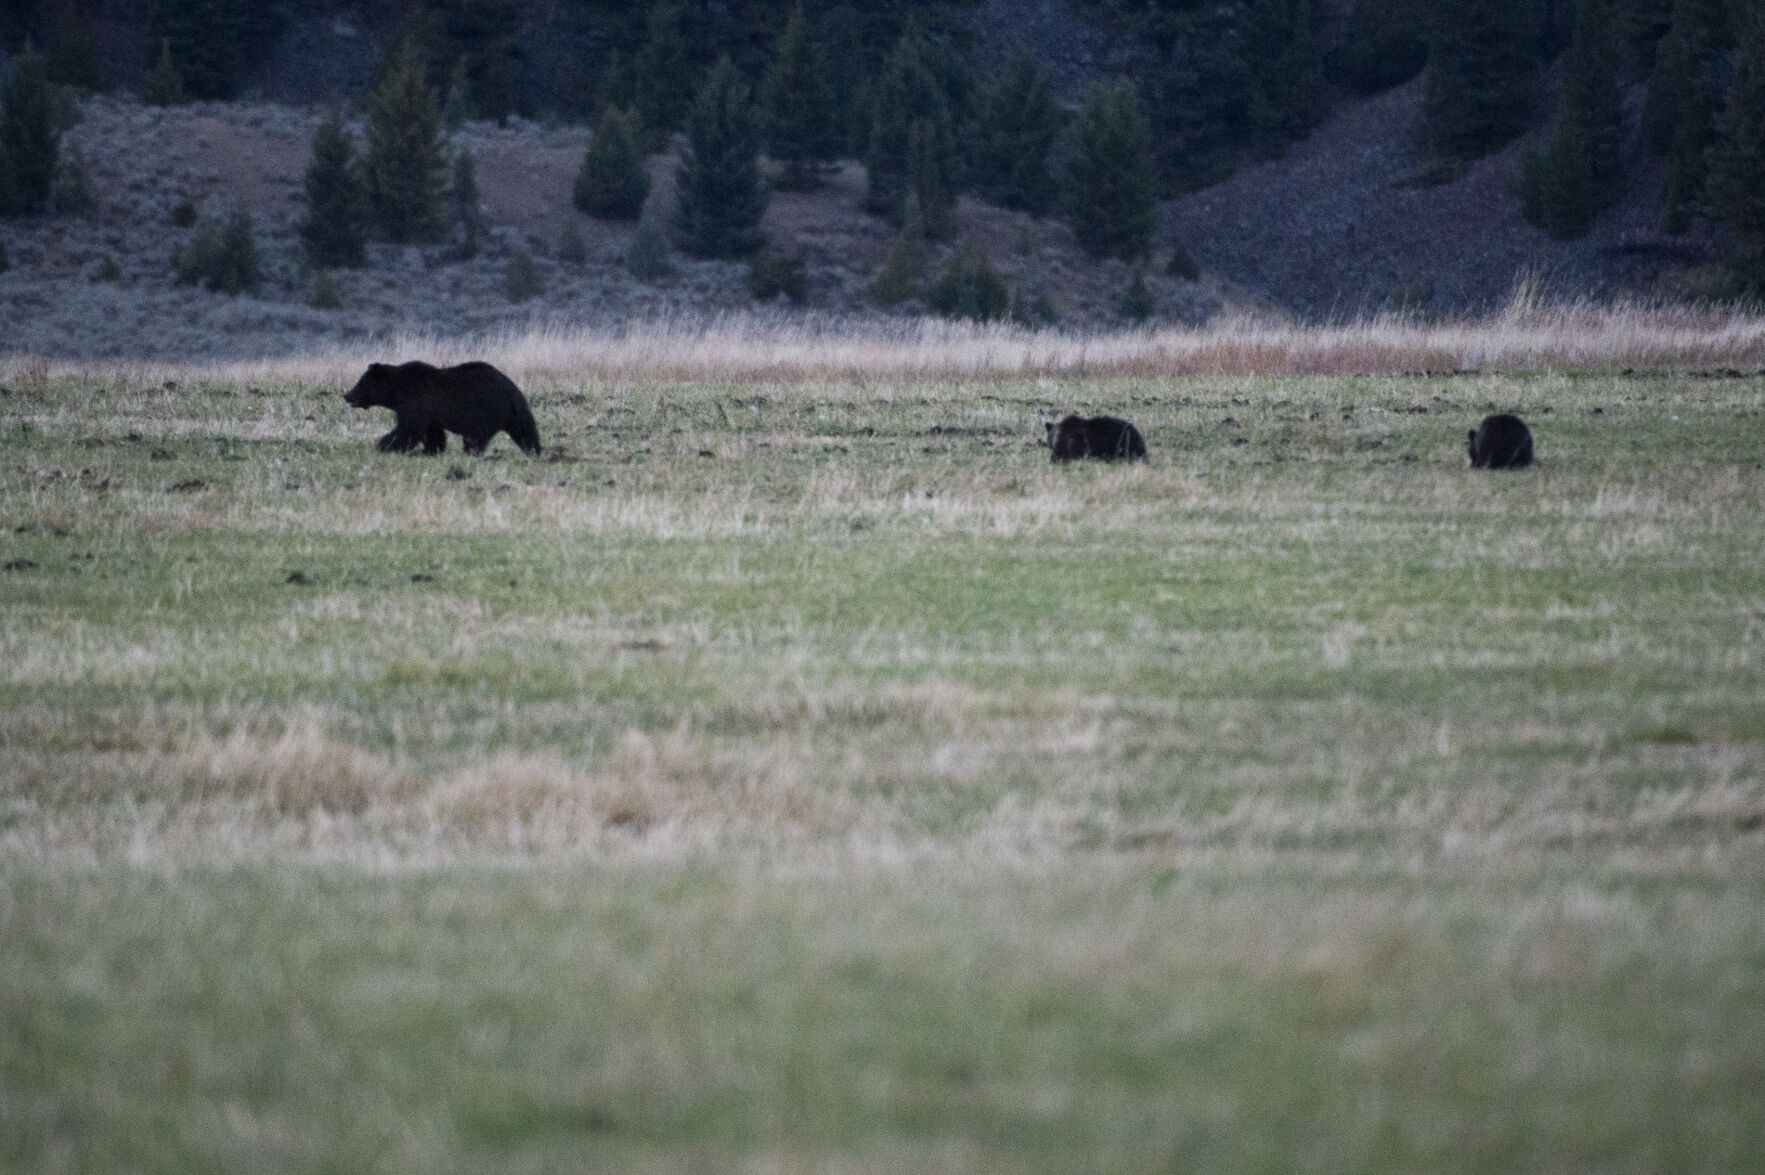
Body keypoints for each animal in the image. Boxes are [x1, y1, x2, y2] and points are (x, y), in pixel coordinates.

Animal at [340, 359, 536, 455]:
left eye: (360, 383)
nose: (347, 395)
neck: (397, 389)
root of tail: (512, 391)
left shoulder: (415, 400)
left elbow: (408, 429)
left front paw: (382, 445)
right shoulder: (429, 413)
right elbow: (432, 432)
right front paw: (431, 450)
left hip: (484, 411)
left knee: (475, 438)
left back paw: (471, 452)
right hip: (516, 413)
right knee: (525, 430)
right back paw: (535, 450)